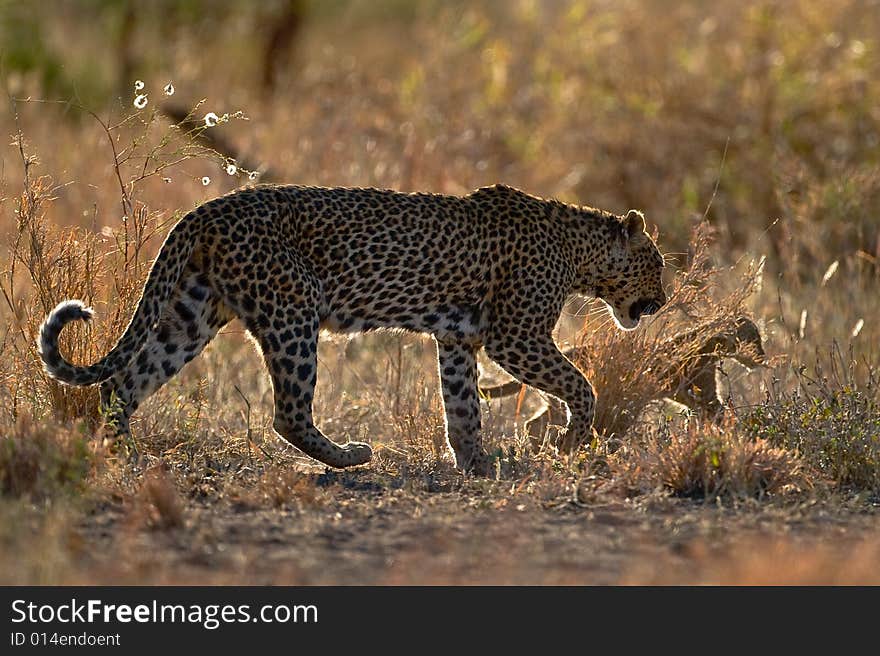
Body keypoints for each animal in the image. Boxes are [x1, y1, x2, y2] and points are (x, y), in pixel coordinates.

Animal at [37, 182, 664, 474]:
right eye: (656, 264)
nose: (660, 302)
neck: (577, 250)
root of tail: (206, 210)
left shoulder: (458, 339)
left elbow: (462, 409)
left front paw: (477, 465)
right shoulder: (517, 335)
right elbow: (582, 384)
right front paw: (570, 439)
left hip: (190, 316)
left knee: (122, 385)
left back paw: (125, 456)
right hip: (293, 310)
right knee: (288, 414)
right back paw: (349, 457)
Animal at [482, 314, 764, 446]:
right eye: (755, 339)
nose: (762, 357)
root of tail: (570, 350)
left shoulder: (695, 396)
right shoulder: (700, 393)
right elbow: (720, 411)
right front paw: (741, 431)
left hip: (555, 401)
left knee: (535, 422)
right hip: (563, 399)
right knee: (536, 423)